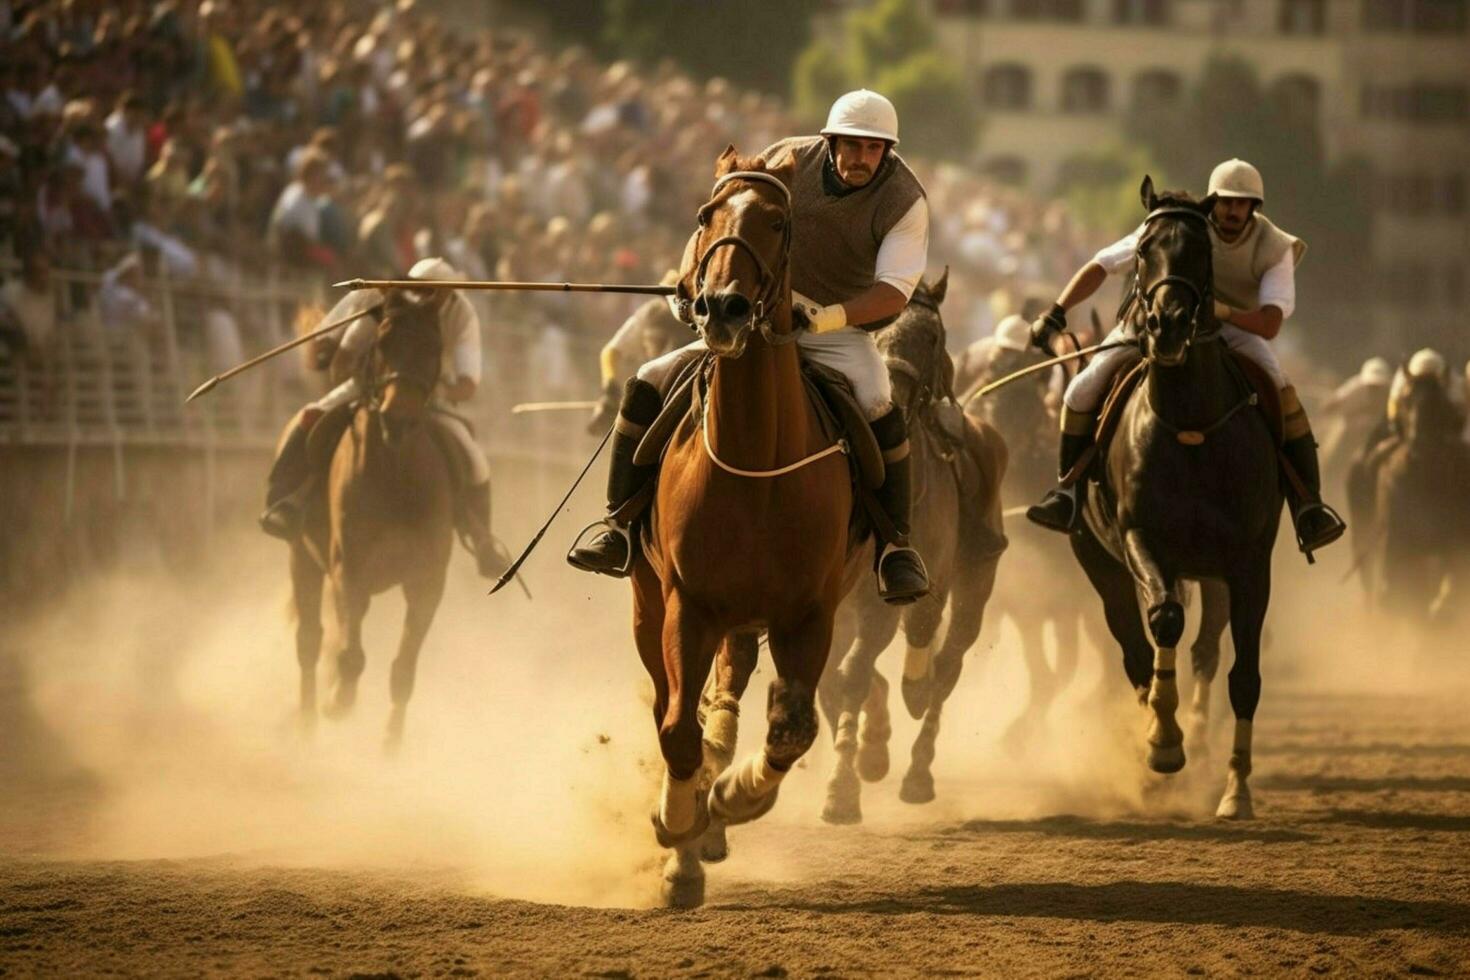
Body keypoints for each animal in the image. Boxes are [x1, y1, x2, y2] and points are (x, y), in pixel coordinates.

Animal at [289, 302, 455, 746]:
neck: (396, 479)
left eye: (434, 346)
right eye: (382, 343)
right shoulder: (349, 569)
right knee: (310, 640)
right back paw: (307, 722)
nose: (398, 418)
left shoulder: (427, 582)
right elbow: (350, 655)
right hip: (301, 558)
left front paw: (390, 741)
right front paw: (337, 702)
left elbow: (403, 668)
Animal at [637, 149, 864, 910]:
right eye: (707, 216)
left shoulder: (810, 613)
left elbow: (792, 726)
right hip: (649, 604)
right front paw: (679, 832)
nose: (722, 308)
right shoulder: (690, 606)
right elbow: (677, 728)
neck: (755, 460)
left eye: (776, 220)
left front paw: (733, 799)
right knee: (673, 706)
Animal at [1064, 178, 1281, 822]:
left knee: (1205, 648)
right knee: (1135, 647)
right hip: (1098, 560)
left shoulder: (1248, 562)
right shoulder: (1141, 537)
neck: (1191, 427)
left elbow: (1244, 674)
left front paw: (1237, 790)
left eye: (1201, 251)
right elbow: (1162, 620)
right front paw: (1163, 741)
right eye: (1144, 250)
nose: (1166, 325)